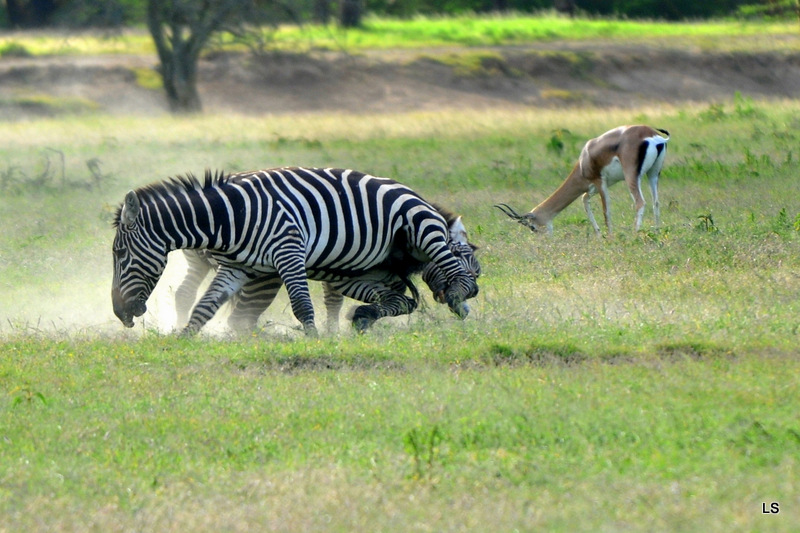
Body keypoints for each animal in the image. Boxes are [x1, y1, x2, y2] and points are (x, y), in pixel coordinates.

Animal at [112, 167, 480, 335]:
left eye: (119, 255)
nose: (120, 313)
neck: (229, 217)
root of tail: (411, 192)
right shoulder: (236, 268)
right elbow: (205, 307)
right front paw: (182, 340)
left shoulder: (289, 252)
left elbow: (304, 306)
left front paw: (317, 340)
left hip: (420, 226)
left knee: (446, 264)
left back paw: (458, 299)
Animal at [496, 125, 670, 235]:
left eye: (532, 227)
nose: (543, 241)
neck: (583, 162)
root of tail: (653, 135)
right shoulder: (592, 188)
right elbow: (585, 202)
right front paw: (599, 234)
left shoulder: (600, 182)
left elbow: (606, 211)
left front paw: (610, 237)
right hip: (653, 174)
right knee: (656, 202)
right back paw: (657, 232)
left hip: (631, 176)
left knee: (640, 202)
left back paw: (635, 234)